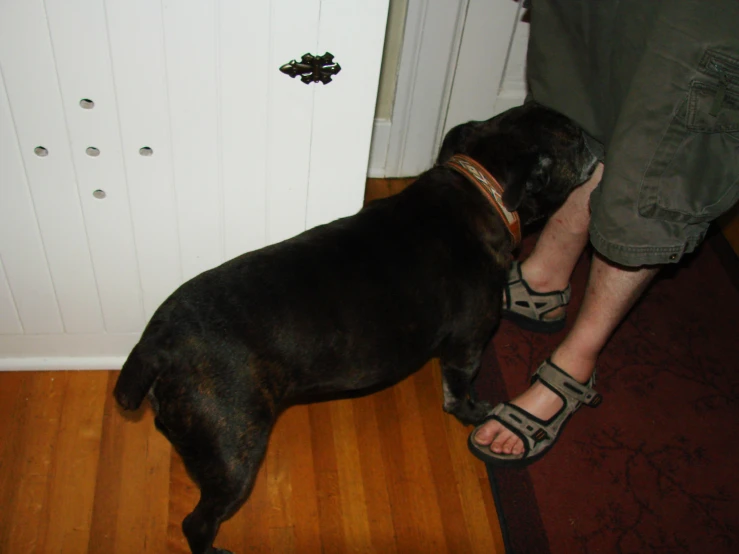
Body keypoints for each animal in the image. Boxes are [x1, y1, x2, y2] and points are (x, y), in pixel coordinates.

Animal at [115, 102, 600, 552]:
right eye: (575, 138)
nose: (598, 141)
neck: (484, 189)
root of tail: (156, 344)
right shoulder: (468, 345)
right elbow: (459, 394)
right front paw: (476, 412)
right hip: (234, 455)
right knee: (197, 523)